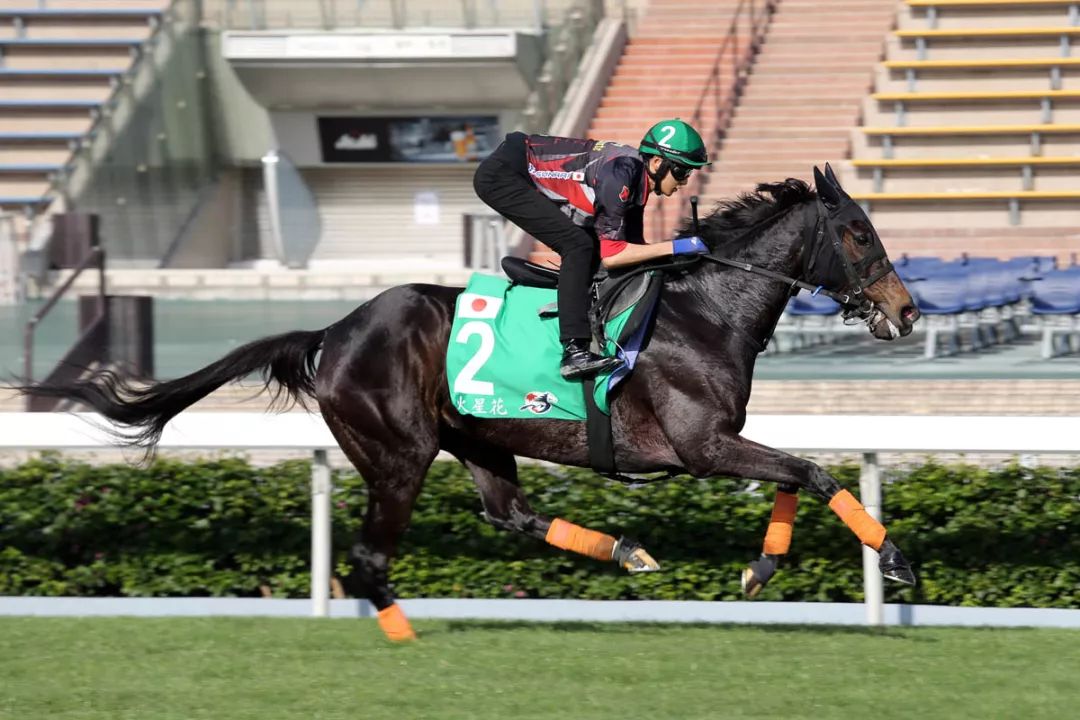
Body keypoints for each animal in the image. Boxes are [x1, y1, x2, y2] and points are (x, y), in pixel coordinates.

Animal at [16, 165, 920, 643]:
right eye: (859, 233)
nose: (907, 311)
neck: (705, 309)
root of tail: (333, 331)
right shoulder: (700, 444)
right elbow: (811, 469)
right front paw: (896, 563)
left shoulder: (716, 443)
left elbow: (798, 474)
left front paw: (762, 566)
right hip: (399, 453)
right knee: (369, 557)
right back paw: (407, 639)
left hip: (478, 439)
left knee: (508, 512)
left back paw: (627, 550)